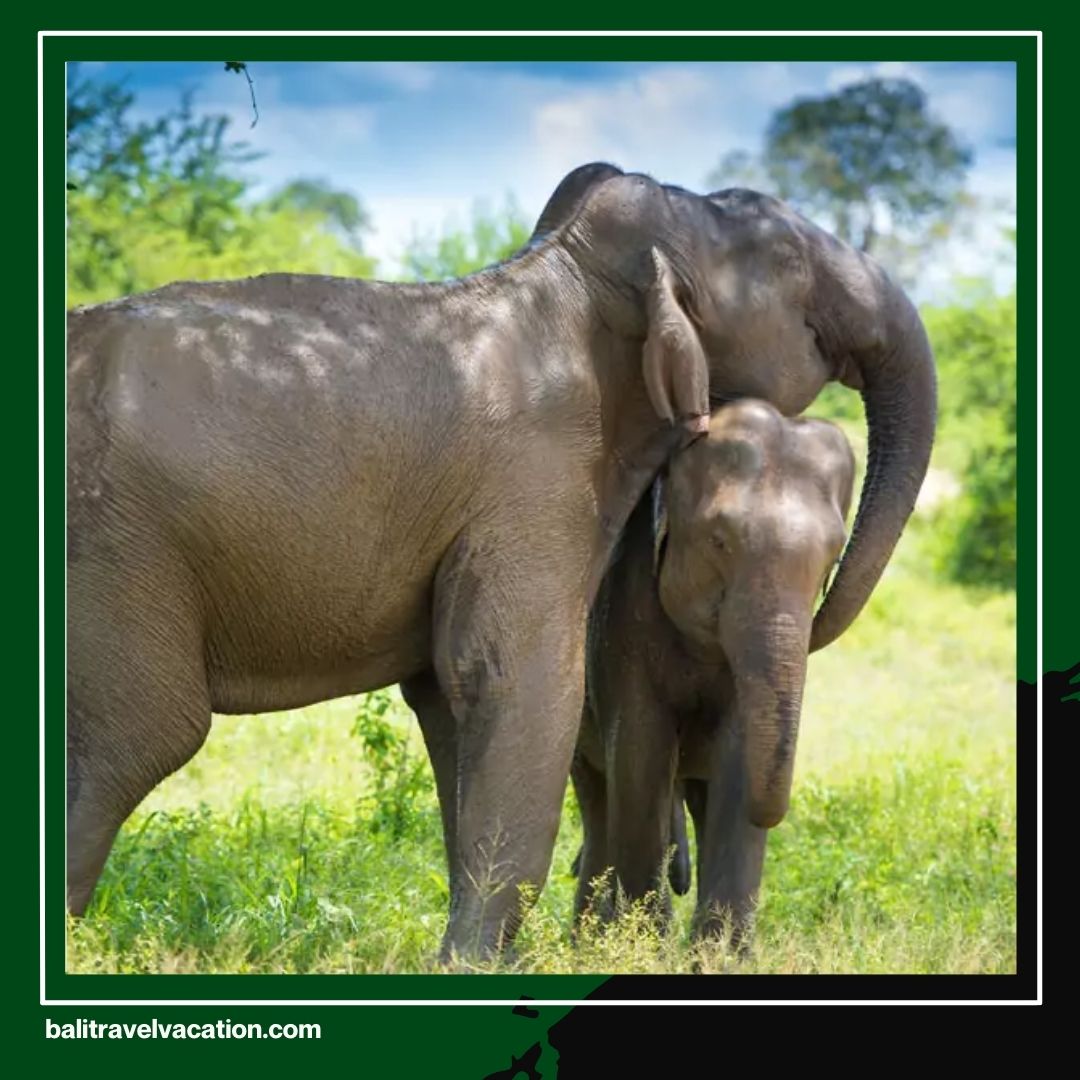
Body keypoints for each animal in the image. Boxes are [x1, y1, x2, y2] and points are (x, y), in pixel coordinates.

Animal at [571, 398, 856, 945]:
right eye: (720, 541)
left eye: (833, 555)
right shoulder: (622, 620)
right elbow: (639, 756)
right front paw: (646, 947)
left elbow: (739, 759)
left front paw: (719, 953)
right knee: (599, 802)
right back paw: (589, 941)